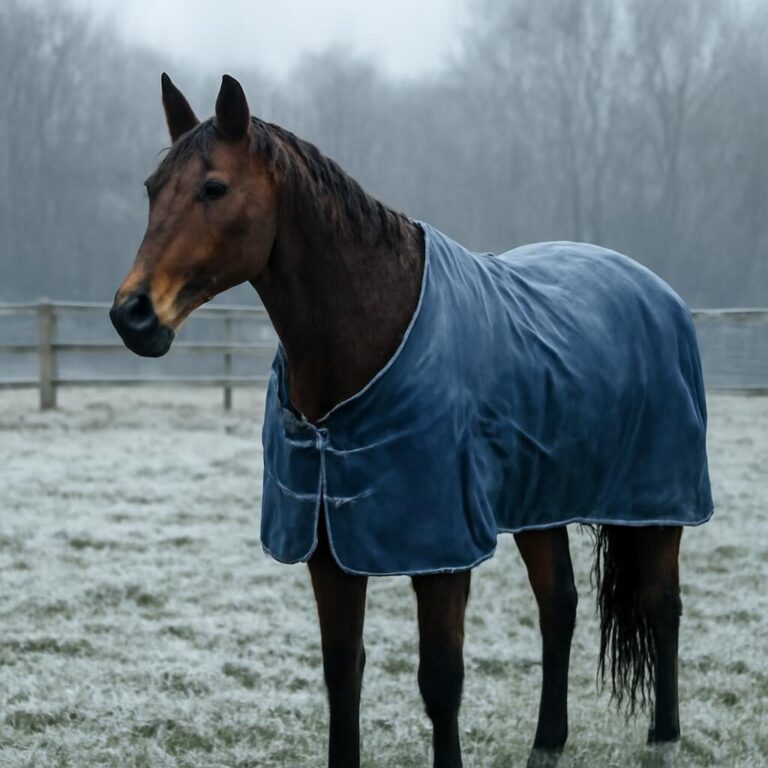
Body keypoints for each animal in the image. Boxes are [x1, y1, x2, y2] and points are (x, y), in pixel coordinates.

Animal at [110, 74, 713, 768]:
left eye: (214, 187)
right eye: (151, 188)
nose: (132, 315)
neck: (372, 334)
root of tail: (656, 290)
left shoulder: (442, 553)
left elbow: (441, 681)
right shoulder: (329, 548)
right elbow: (342, 673)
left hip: (661, 505)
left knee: (662, 605)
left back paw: (663, 736)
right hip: (541, 504)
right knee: (558, 607)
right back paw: (547, 742)